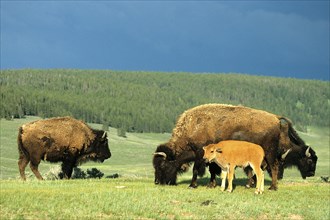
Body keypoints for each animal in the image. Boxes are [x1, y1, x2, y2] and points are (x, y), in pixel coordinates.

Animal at [152, 104, 318, 190]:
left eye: (163, 165)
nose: (157, 182)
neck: (192, 127)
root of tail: (275, 118)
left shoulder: (200, 153)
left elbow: (196, 170)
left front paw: (193, 185)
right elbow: (213, 171)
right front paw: (211, 185)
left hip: (269, 152)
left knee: (274, 166)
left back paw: (272, 187)